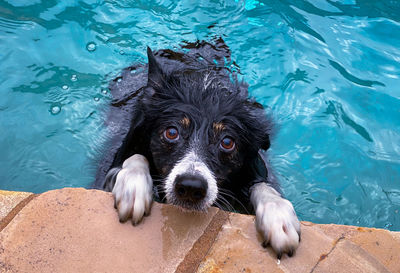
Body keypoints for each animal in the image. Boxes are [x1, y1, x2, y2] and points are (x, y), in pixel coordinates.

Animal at [94, 37, 300, 258]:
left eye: (227, 142)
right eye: (171, 132)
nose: (191, 186)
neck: (202, 86)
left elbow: (262, 184)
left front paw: (278, 215)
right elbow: (135, 157)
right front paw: (133, 185)